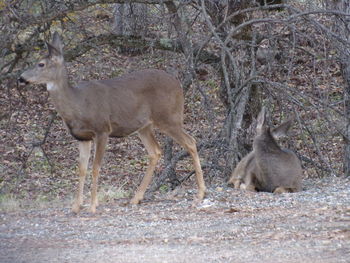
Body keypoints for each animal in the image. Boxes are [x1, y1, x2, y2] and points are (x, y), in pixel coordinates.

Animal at [18, 32, 205, 213]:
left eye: (41, 64)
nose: (20, 78)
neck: (78, 105)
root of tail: (178, 84)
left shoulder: (102, 129)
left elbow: (96, 166)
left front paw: (93, 206)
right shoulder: (82, 137)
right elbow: (81, 168)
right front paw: (76, 207)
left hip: (169, 117)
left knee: (190, 142)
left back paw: (201, 193)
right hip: (144, 126)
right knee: (155, 151)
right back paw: (136, 198)